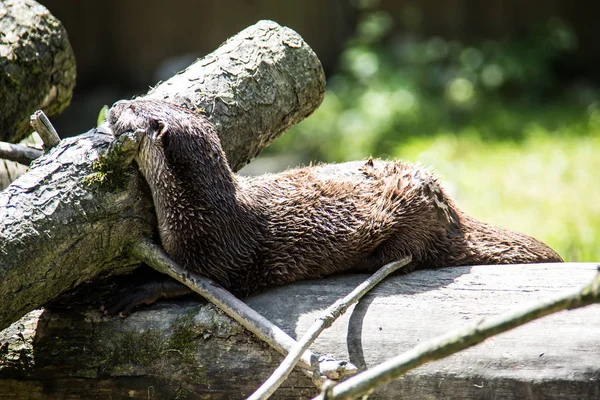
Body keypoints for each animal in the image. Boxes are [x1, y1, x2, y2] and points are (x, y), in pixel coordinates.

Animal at [106, 98, 564, 304]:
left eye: (132, 108)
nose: (112, 105)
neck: (201, 212)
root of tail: (449, 209)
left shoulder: (220, 258)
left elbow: (191, 284)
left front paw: (129, 292)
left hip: (410, 222)